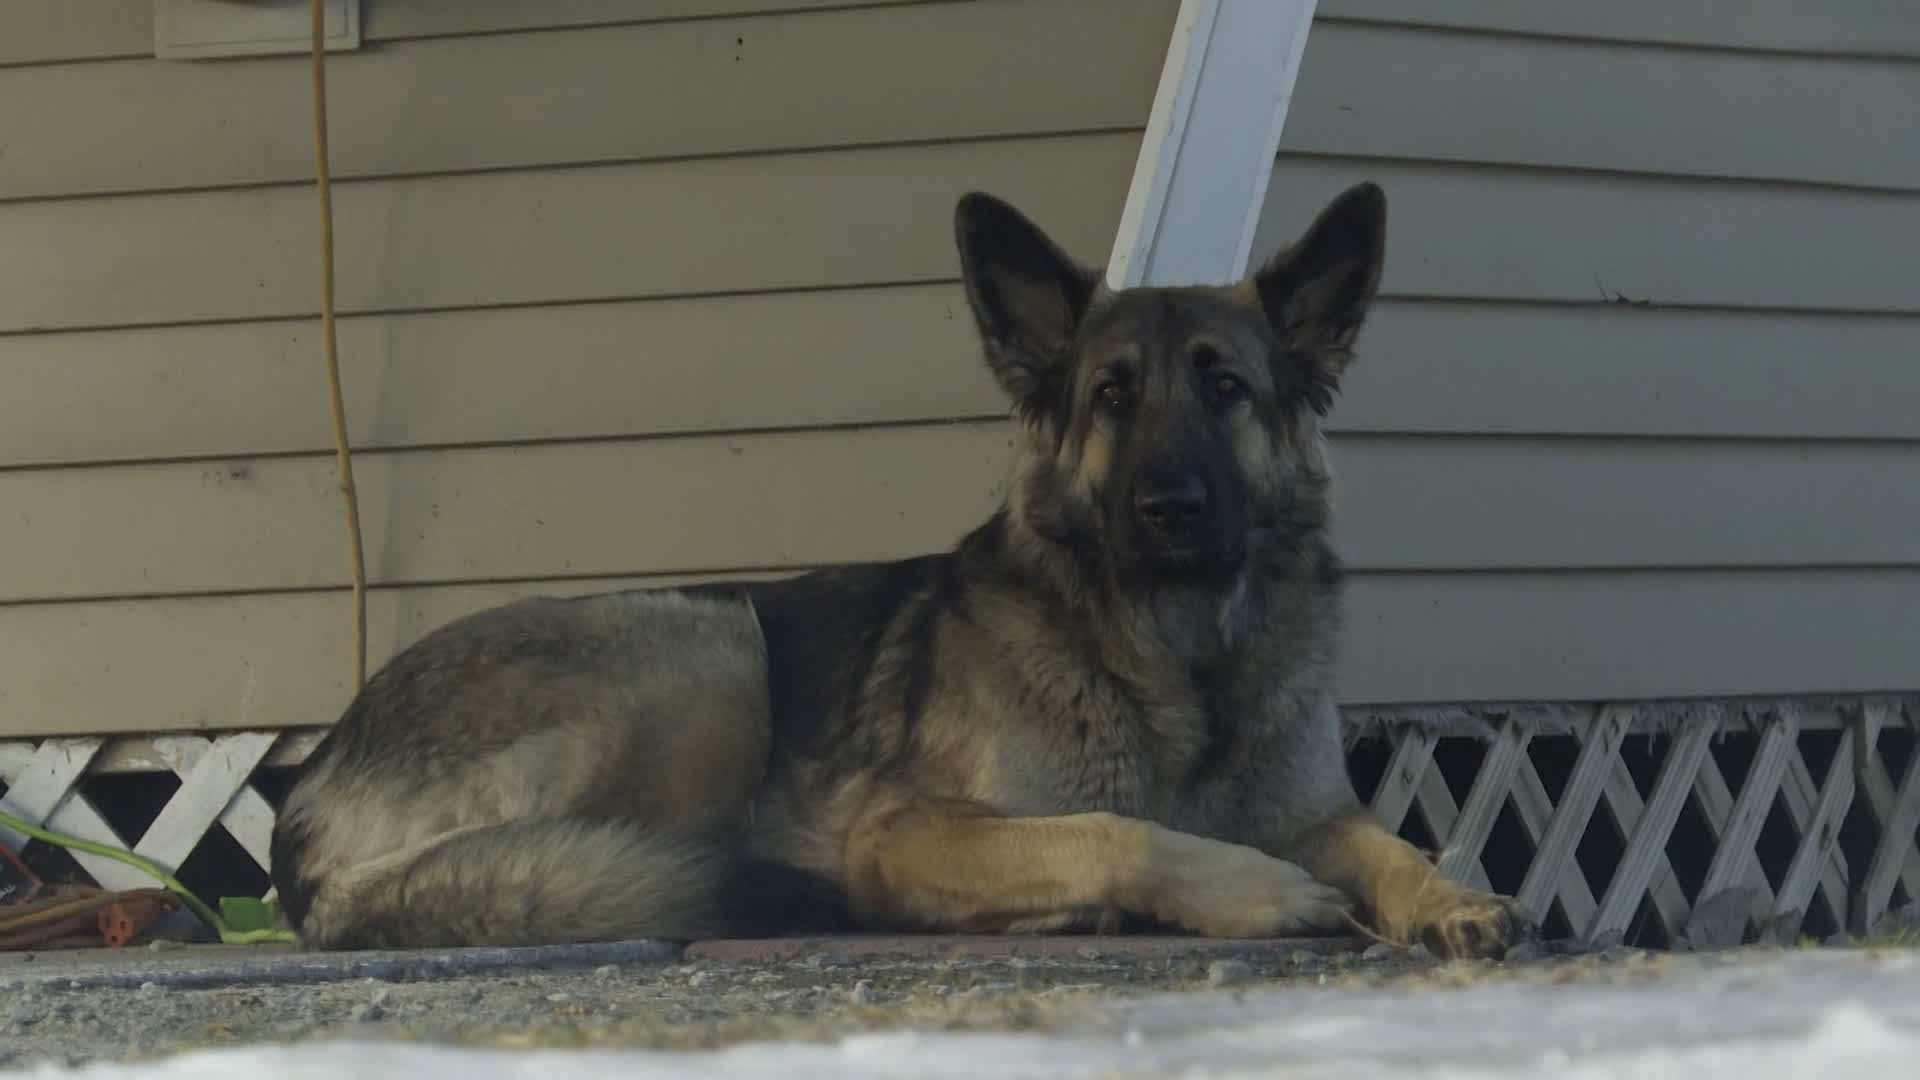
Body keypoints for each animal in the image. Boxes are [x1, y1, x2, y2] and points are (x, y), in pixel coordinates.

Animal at [274, 180, 1528, 953]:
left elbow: (1393, 840)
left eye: (1227, 388)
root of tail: (315, 782)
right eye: (1110, 396)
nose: (1168, 508)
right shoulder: (903, 832)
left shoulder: (1318, 810)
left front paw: (1452, 895)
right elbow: (1112, 829)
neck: (1177, 664)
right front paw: (1254, 893)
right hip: (709, 647)